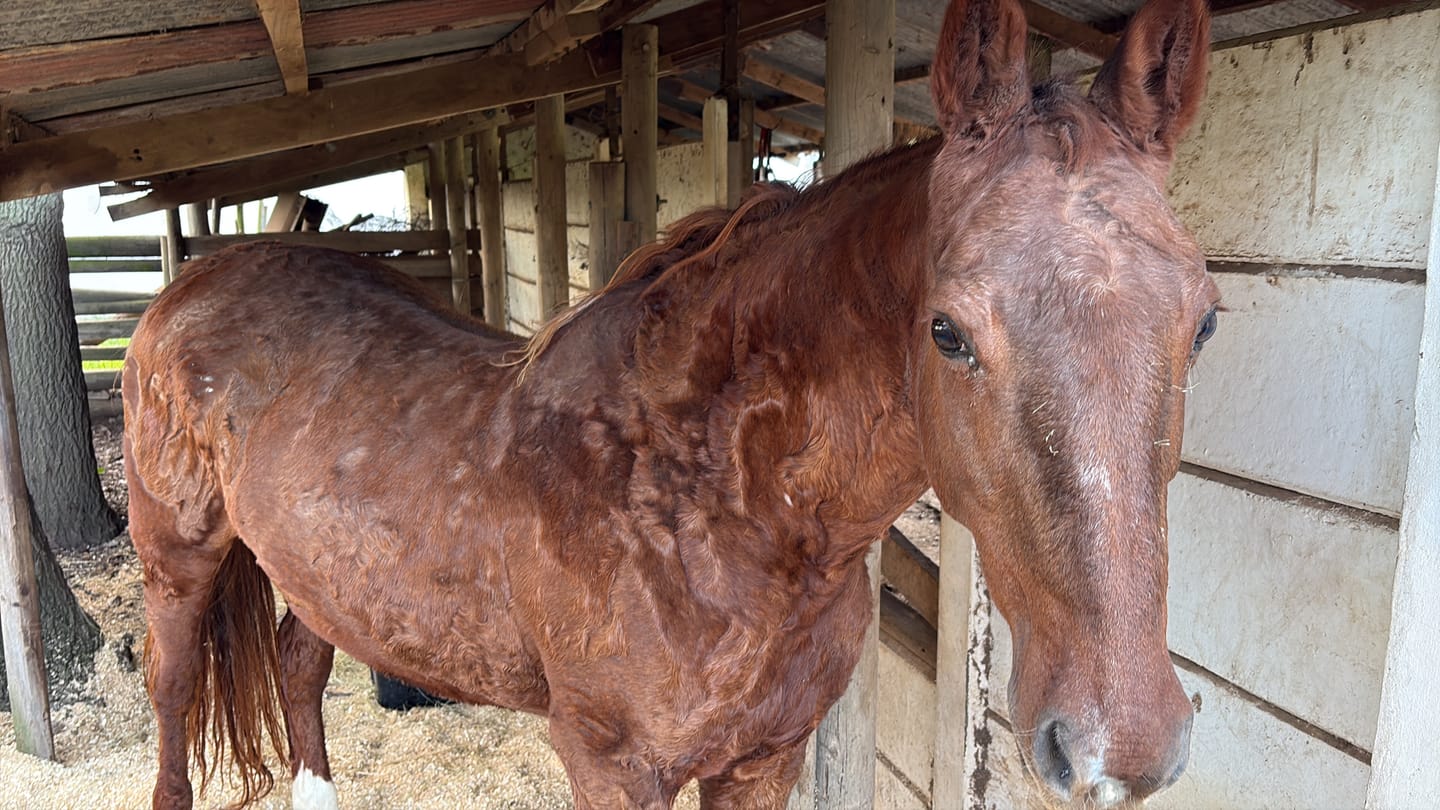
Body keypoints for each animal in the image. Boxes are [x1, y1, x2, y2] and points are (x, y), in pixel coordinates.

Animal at [123, 0, 1216, 805]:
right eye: (947, 332)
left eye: (1204, 320)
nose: (1121, 746)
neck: (704, 501)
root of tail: (196, 279)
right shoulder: (614, 768)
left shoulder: (766, 759)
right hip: (179, 554)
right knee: (172, 690)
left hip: (315, 567)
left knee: (301, 665)